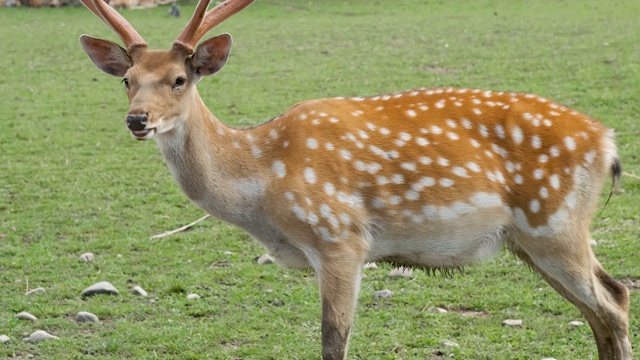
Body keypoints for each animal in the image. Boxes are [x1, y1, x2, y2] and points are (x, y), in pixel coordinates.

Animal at [76, 0, 632, 358]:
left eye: (179, 79)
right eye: (127, 80)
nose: (138, 119)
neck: (263, 190)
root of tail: (607, 144)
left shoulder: (340, 238)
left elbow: (333, 341)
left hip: (554, 225)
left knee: (613, 304)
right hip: (533, 240)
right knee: (608, 303)